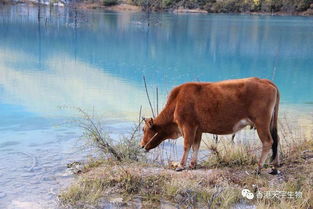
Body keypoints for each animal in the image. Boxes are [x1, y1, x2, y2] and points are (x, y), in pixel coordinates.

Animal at [140, 77, 280, 174]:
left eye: (144, 129)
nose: (141, 145)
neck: (176, 102)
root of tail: (264, 80)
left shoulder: (188, 126)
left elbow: (187, 145)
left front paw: (181, 165)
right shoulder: (198, 129)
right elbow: (196, 146)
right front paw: (193, 164)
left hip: (261, 123)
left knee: (268, 142)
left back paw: (258, 168)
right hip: (269, 123)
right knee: (276, 140)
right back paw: (273, 167)